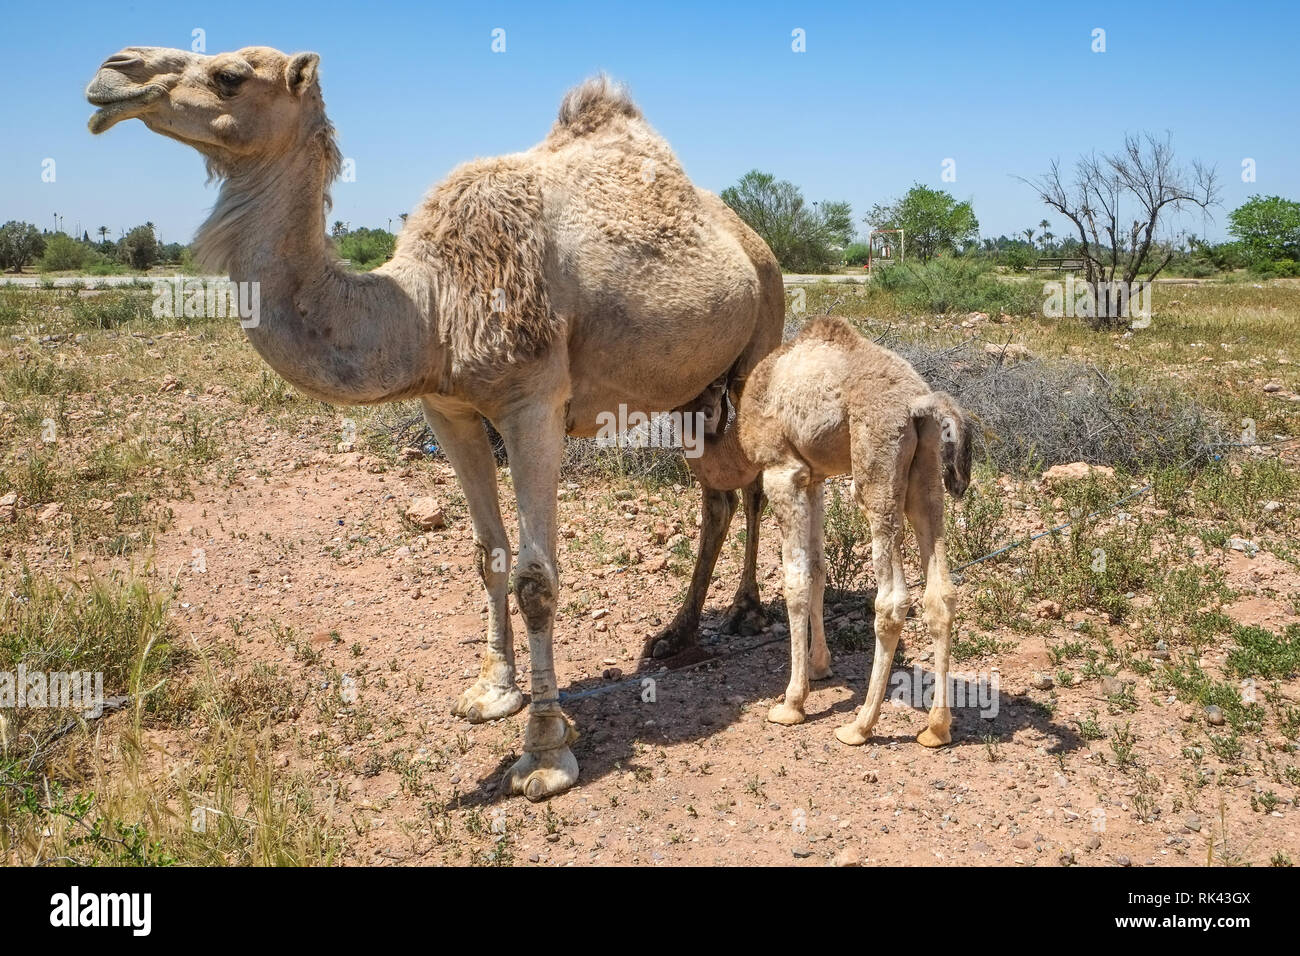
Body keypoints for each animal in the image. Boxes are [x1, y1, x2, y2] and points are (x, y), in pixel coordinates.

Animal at [738, 317, 972, 749]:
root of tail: (919, 404)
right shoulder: (812, 476)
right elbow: (817, 570)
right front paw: (819, 666)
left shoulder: (781, 470)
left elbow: (796, 582)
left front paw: (792, 702)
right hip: (925, 477)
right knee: (941, 593)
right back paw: (936, 729)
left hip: (875, 473)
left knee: (892, 601)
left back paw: (860, 726)